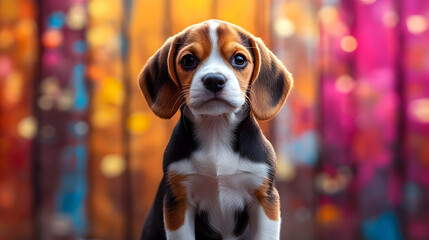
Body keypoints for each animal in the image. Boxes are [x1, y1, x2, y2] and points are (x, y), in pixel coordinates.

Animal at [139, 19, 292, 239]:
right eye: (188, 60)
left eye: (239, 59)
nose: (214, 80)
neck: (216, 130)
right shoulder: (179, 202)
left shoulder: (264, 199)